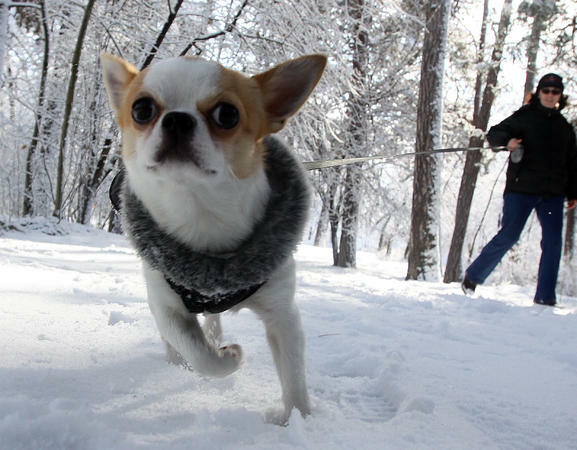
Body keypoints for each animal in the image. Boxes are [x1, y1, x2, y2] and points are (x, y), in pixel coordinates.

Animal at [102, 54, 326, 424]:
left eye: (227, 115)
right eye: (141, 110)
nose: (177, 119)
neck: (202, 214)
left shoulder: (283, 316)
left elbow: (294, 375)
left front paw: (299, 420)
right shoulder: (166, 305)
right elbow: (198, 352)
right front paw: (227, 357)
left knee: (213, 320)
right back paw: (179, 360)